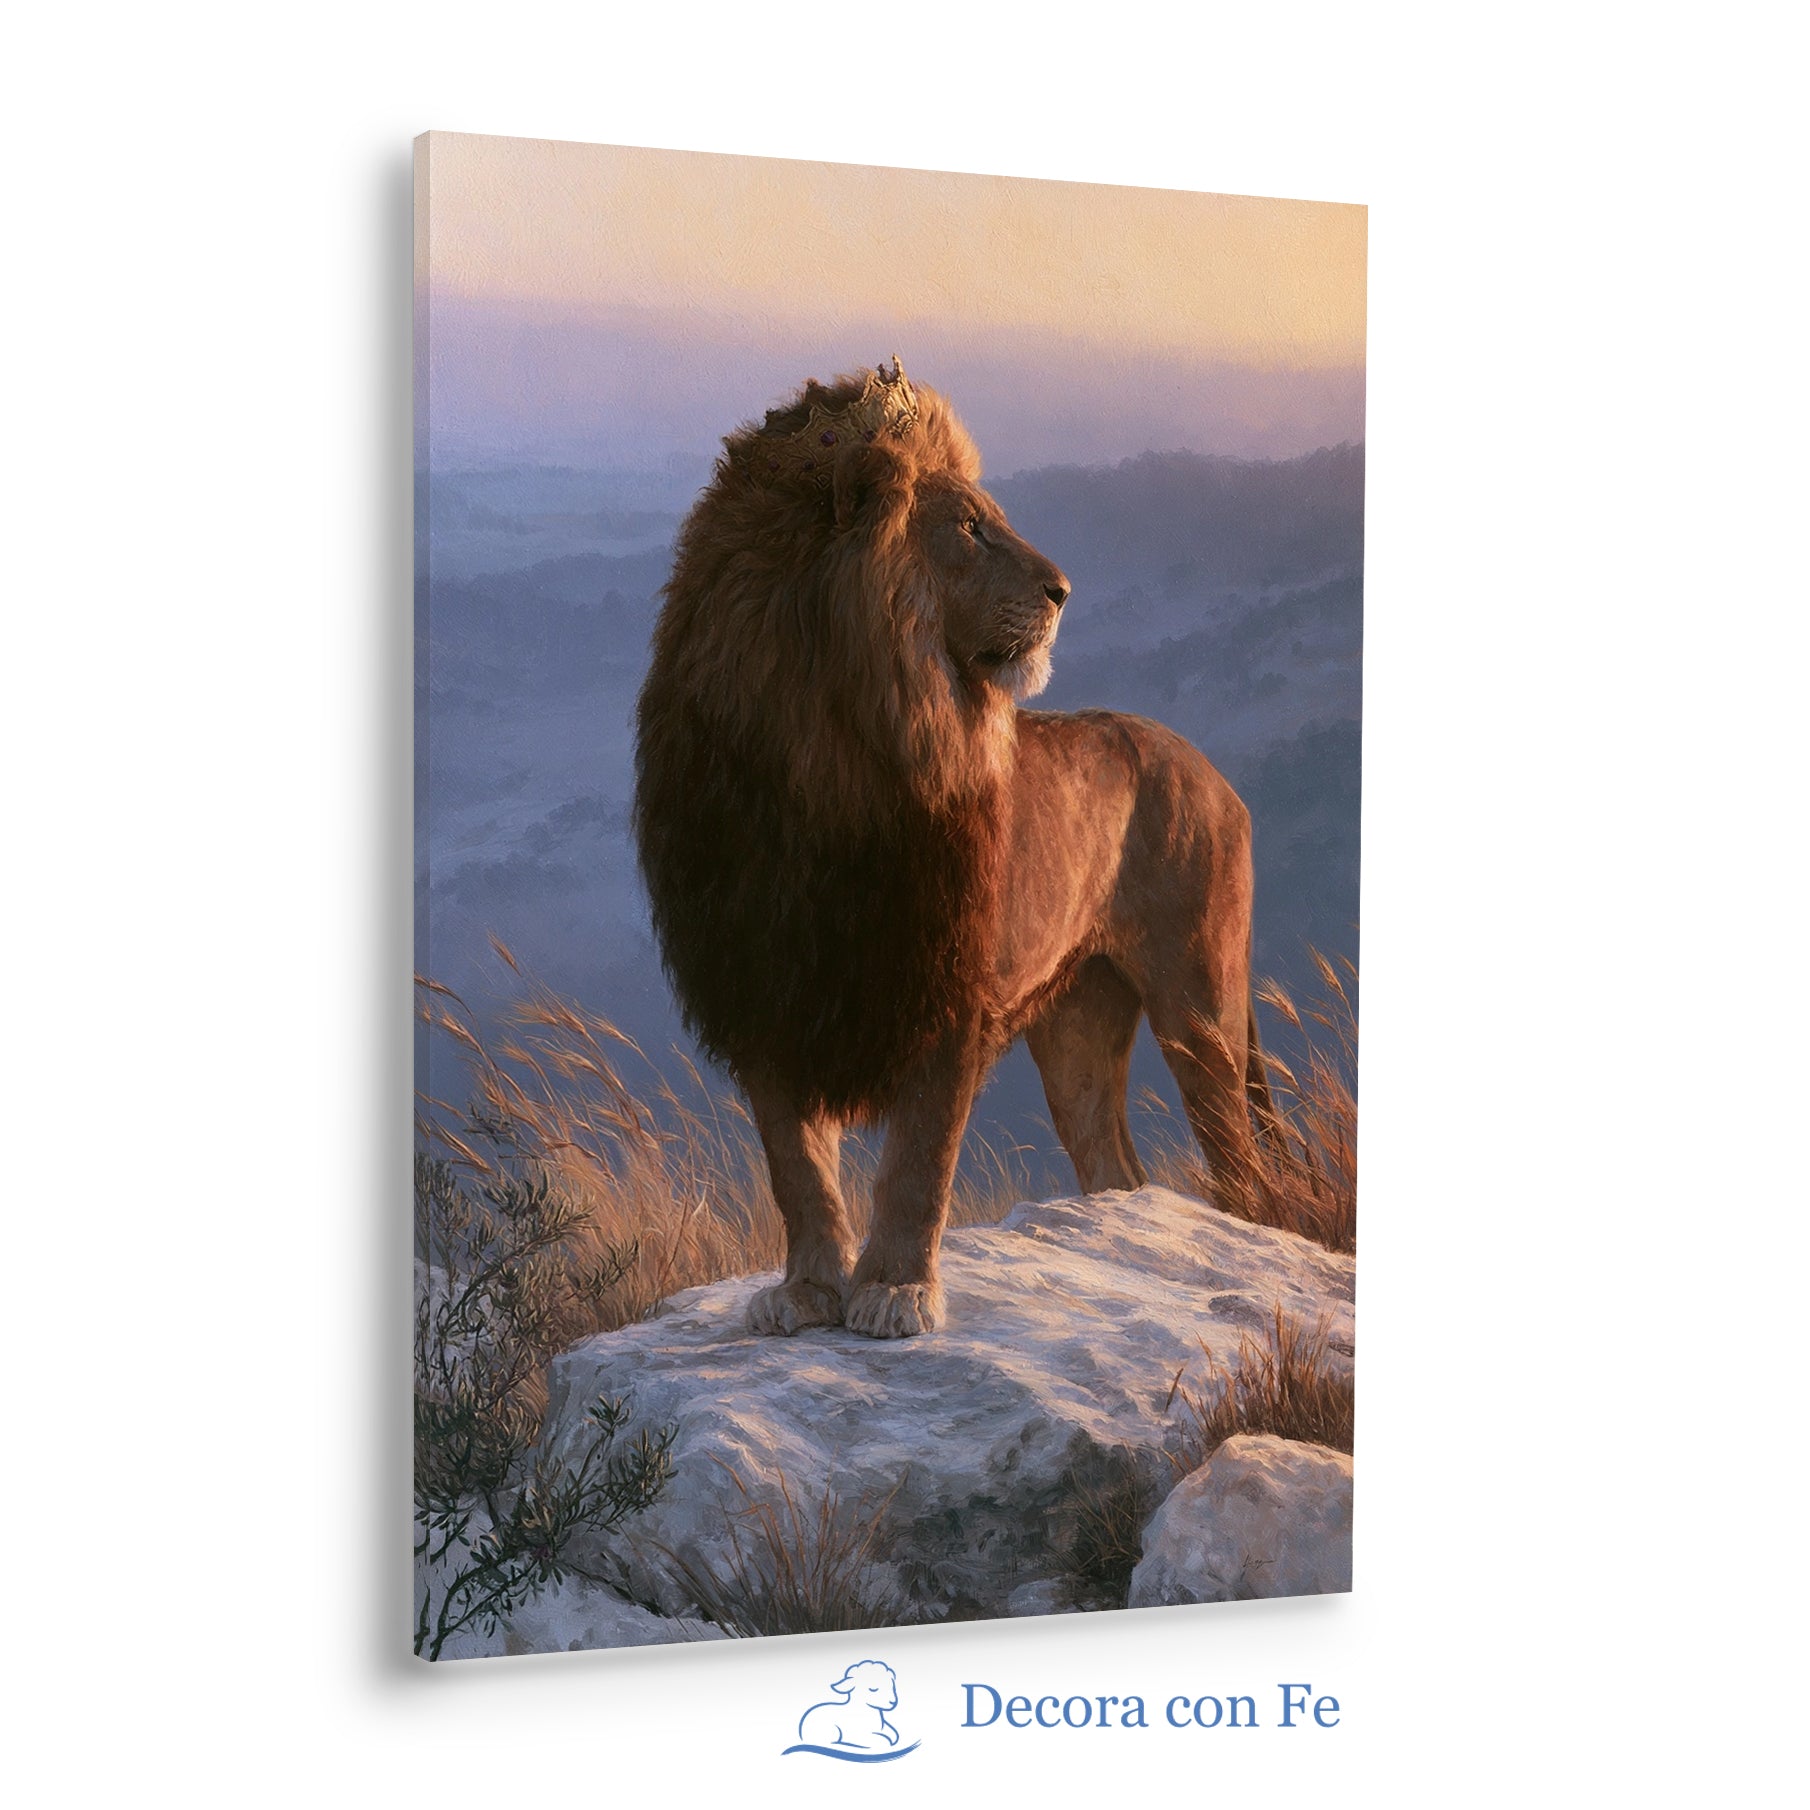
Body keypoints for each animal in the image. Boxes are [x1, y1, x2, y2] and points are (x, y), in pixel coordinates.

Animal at [634, 360, 1277, 1340]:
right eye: (970, 529)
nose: (1064, 590)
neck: (823, 756)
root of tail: (1213, 770)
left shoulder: (946, 988)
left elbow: (918, 1162)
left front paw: (896, 1292)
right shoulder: (766, 988)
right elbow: (796, 1165)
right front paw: (807, 1291)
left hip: (1200, 1004)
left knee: (1238, 1164)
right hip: (1079, 1022)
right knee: (1115, 1169)